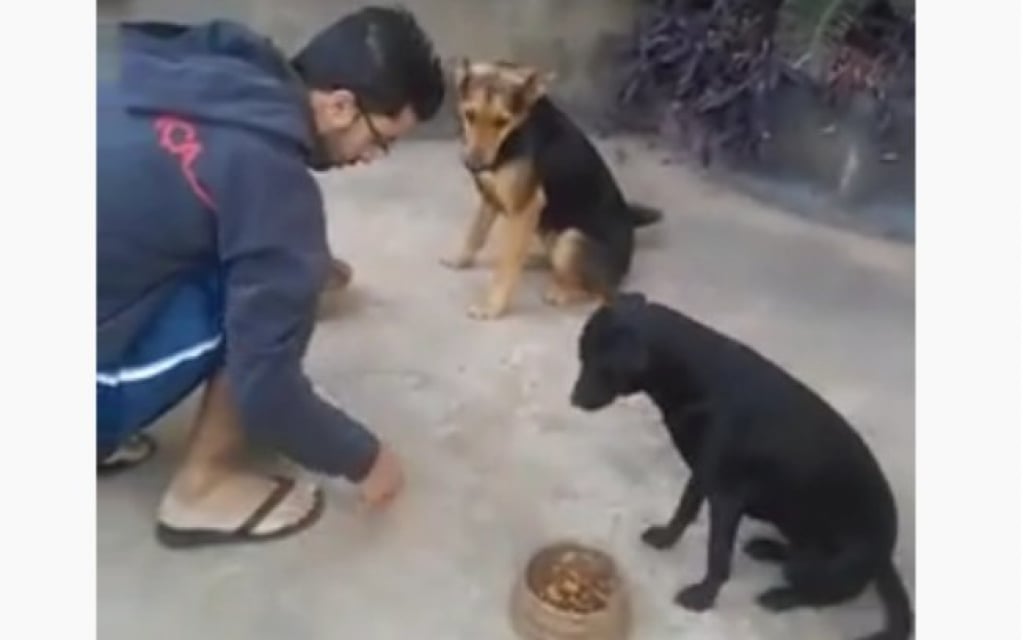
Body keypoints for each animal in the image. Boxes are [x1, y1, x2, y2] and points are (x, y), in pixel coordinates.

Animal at [441, 59, 662, 318]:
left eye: (502, 121)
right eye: (469, 114)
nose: (474, 165)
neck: (515, 132)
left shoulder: (525, 208)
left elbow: (506, 266)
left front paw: (492, 306)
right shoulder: (490, 197)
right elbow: (475, 234)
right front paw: (460, 259)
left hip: (571, 240)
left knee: (601, 293)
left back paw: (562, 292)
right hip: (547, 229)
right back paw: (535, 259)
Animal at [572, 292, 916, 633]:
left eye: (598, 363)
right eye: (581, 355)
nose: (573, 400)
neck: (697, 377)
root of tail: (884, 558)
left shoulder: (726, 497)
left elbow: (717, 555)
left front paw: (703, 597)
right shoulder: (703, 472)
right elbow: (684, 510)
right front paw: (666, 539)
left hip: (822, 567)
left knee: (826, 593)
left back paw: (781, 596)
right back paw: (767, 548)